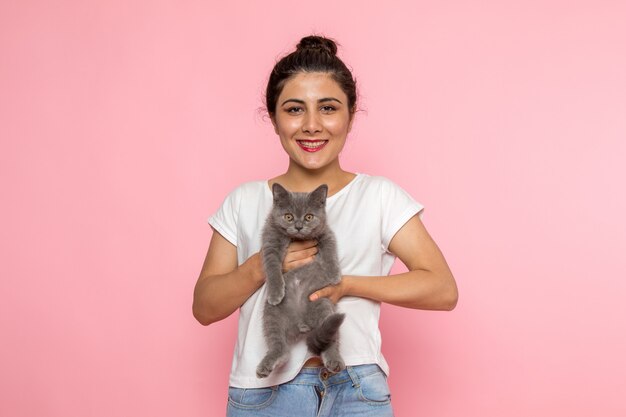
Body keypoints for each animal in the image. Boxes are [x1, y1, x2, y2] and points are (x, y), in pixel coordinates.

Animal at [255, 182, 346, 376]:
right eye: (288, 216)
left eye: (309, 216)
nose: (298, 226)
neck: (296, 238)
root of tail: (300, 324)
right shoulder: (270, 241)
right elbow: (272, 267)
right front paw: (275, 292)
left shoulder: (326, 232)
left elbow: (330, 249)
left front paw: (334, 274)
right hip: (271, 315)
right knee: (280, 347)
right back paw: (268, 364)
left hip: (323, 306)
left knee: (330, 340)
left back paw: (334, 360)